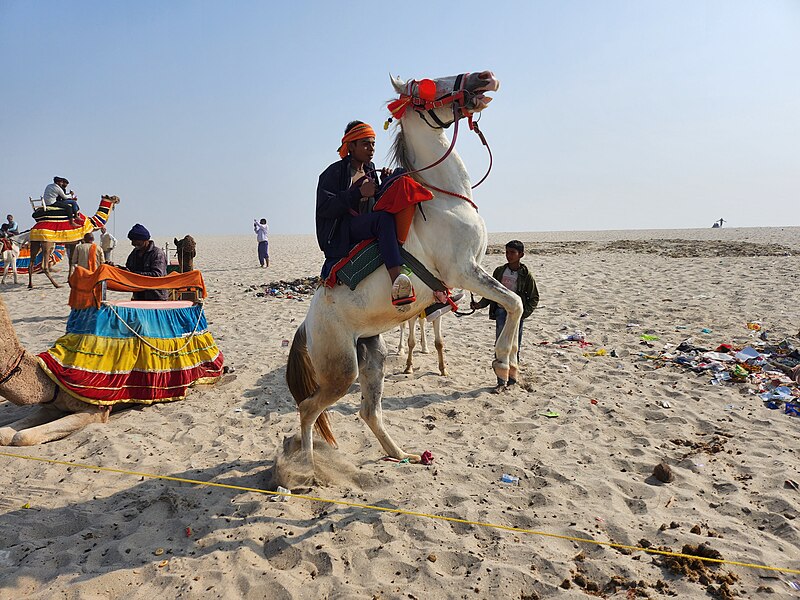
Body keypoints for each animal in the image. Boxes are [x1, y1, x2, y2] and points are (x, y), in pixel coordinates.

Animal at [284, 69, 520, 464]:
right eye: (431, 84)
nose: (485, 77)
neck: (444, 198)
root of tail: (306, 326)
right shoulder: (462, 271)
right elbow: (514, 302)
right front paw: (502, 365)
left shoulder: (471, 272)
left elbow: (512, 303)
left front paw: (511, 367)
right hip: (341, 369)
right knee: (309, 408)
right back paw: (308, 467)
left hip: (371, 353)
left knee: (368, 411)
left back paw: (400, 454)